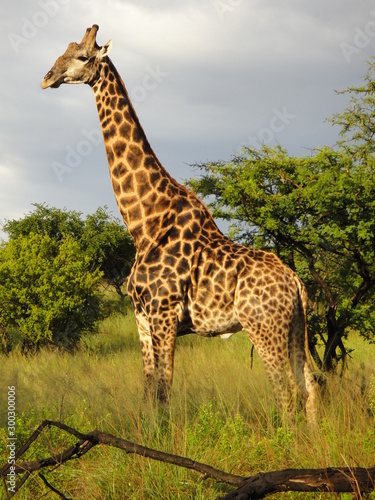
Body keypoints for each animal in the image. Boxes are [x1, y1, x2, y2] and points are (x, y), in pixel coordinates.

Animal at [41, 23, 318, 422]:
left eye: (81, 56)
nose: (47, 78)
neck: (143, 222)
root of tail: (296, 283)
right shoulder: (141, 318)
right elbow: (147, 392)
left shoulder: (165, 313)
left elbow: (163, 392)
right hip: (297, 326)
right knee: (310, 384)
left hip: (264, 328)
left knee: (286, 392)